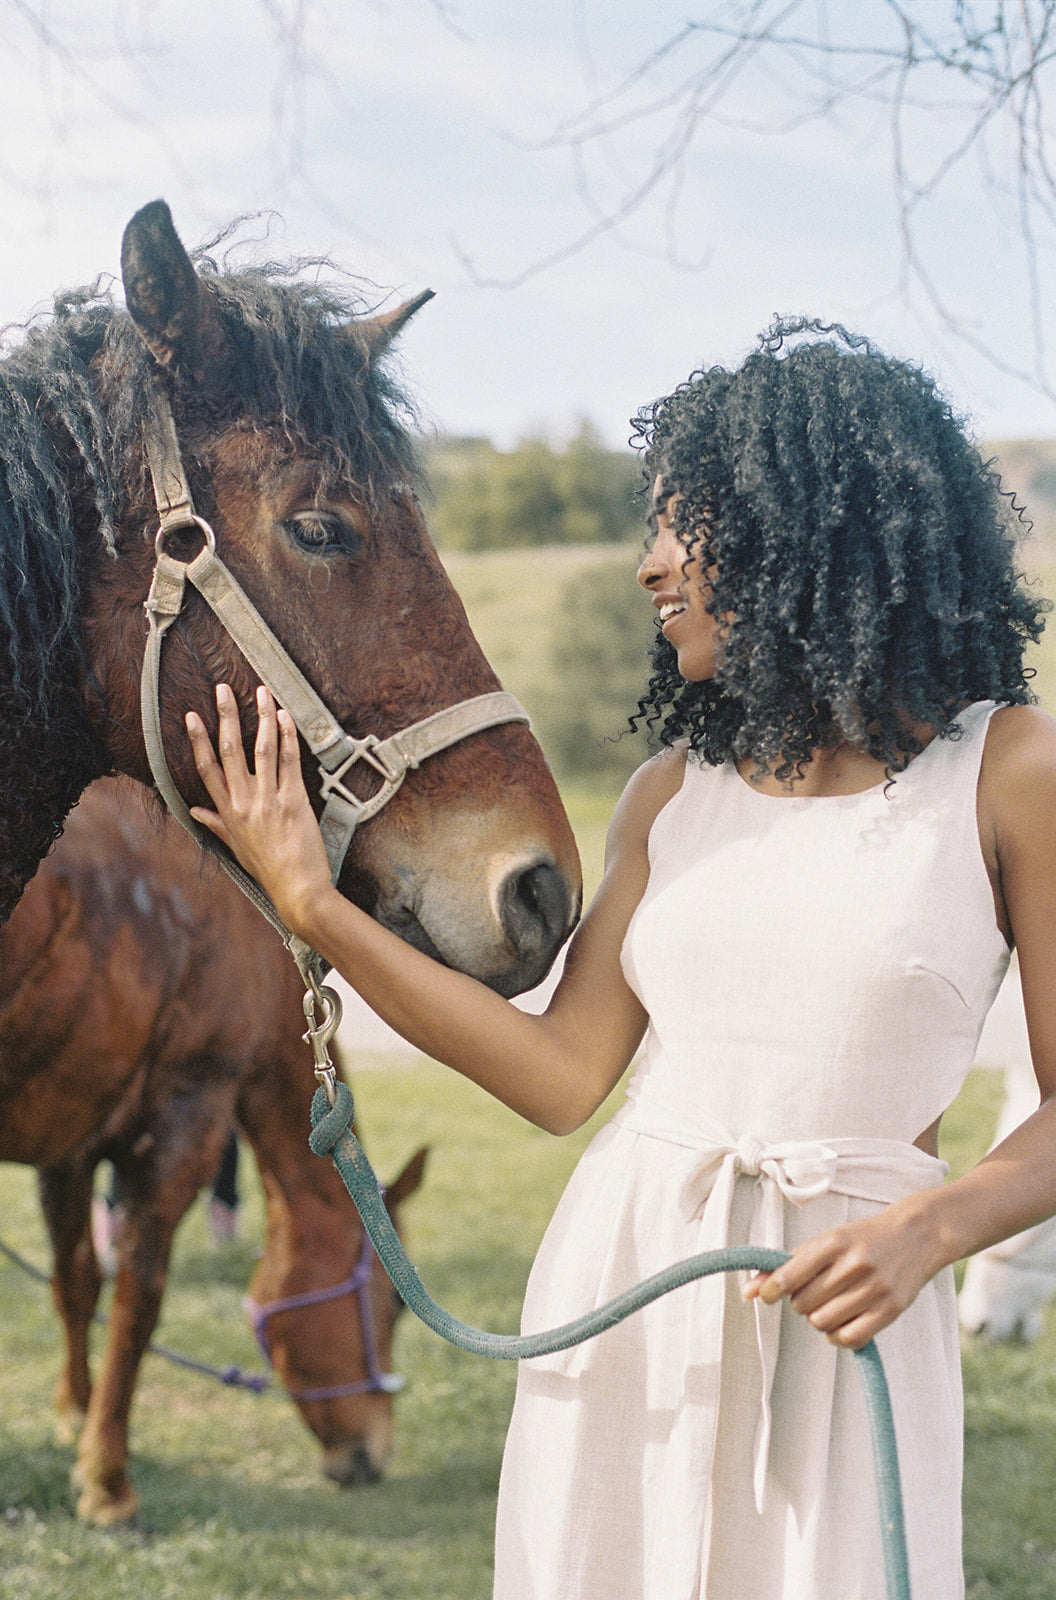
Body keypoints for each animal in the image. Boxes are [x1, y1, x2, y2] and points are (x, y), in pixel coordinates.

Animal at [4, 780, 425, 1529]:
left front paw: (75, 1415)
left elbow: (75, 1284)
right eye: (393, 1307)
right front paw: (107, 1482)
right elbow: (138, 1304)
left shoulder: (71, 1142)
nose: (371, 1456)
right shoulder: (185, 1119)